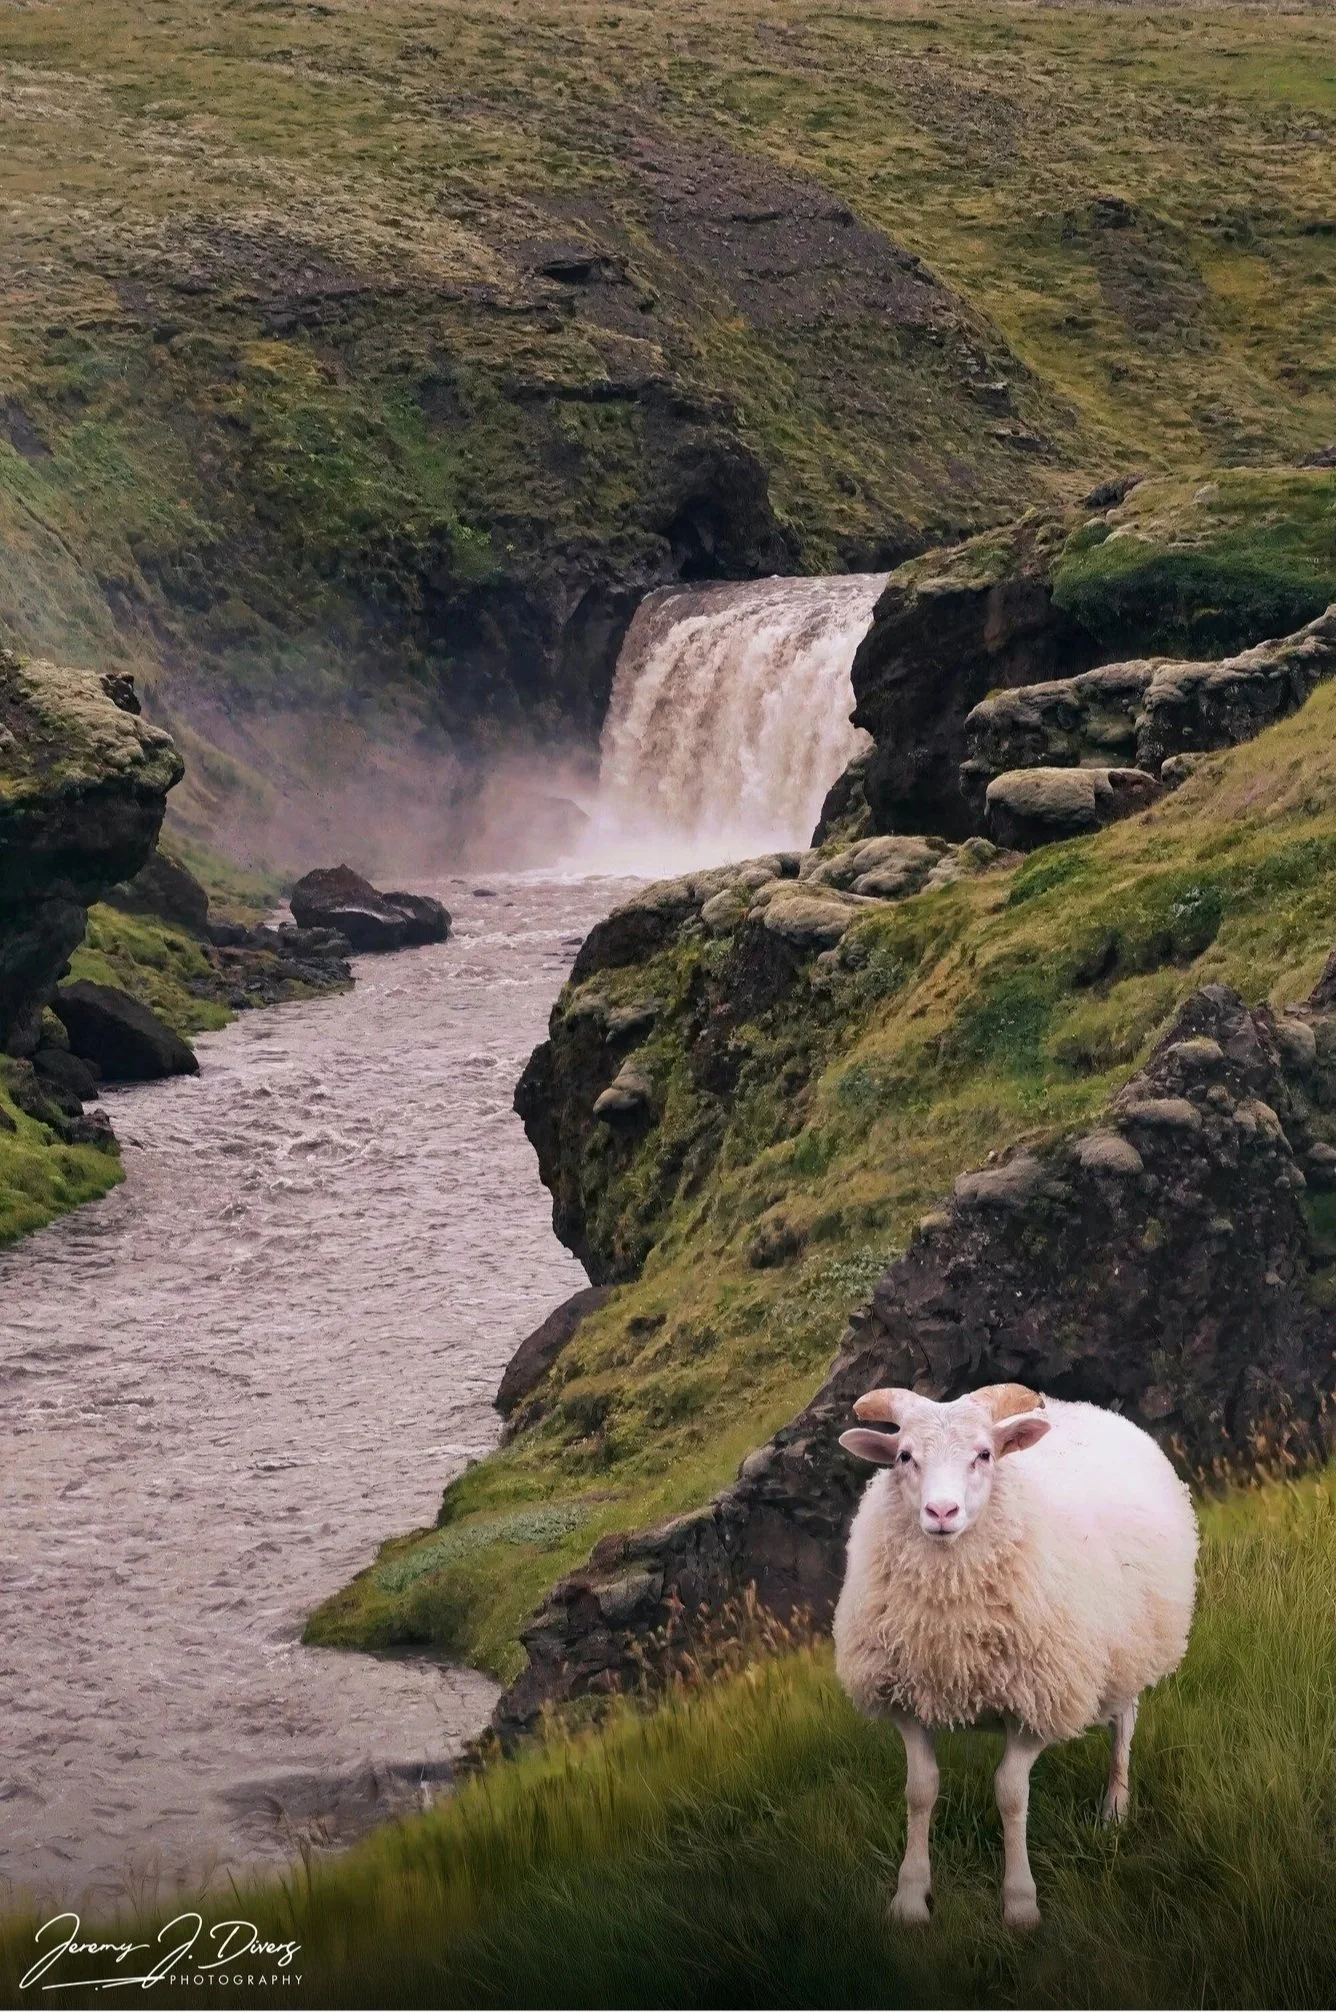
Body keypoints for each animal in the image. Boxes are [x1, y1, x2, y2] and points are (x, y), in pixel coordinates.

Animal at [833, 1382, 1198, 1929]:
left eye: (985, 1454)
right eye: (904, 1456)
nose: (941, 1513)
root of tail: (1084, 1408)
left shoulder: (1038, 1701)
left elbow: (1010, 1793)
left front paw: (1020, 1903)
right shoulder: (907, 1700)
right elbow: (920, 1790)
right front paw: (910, 1897)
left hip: (1128, 1649)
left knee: (1124, 1726)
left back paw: (1115, 1807)